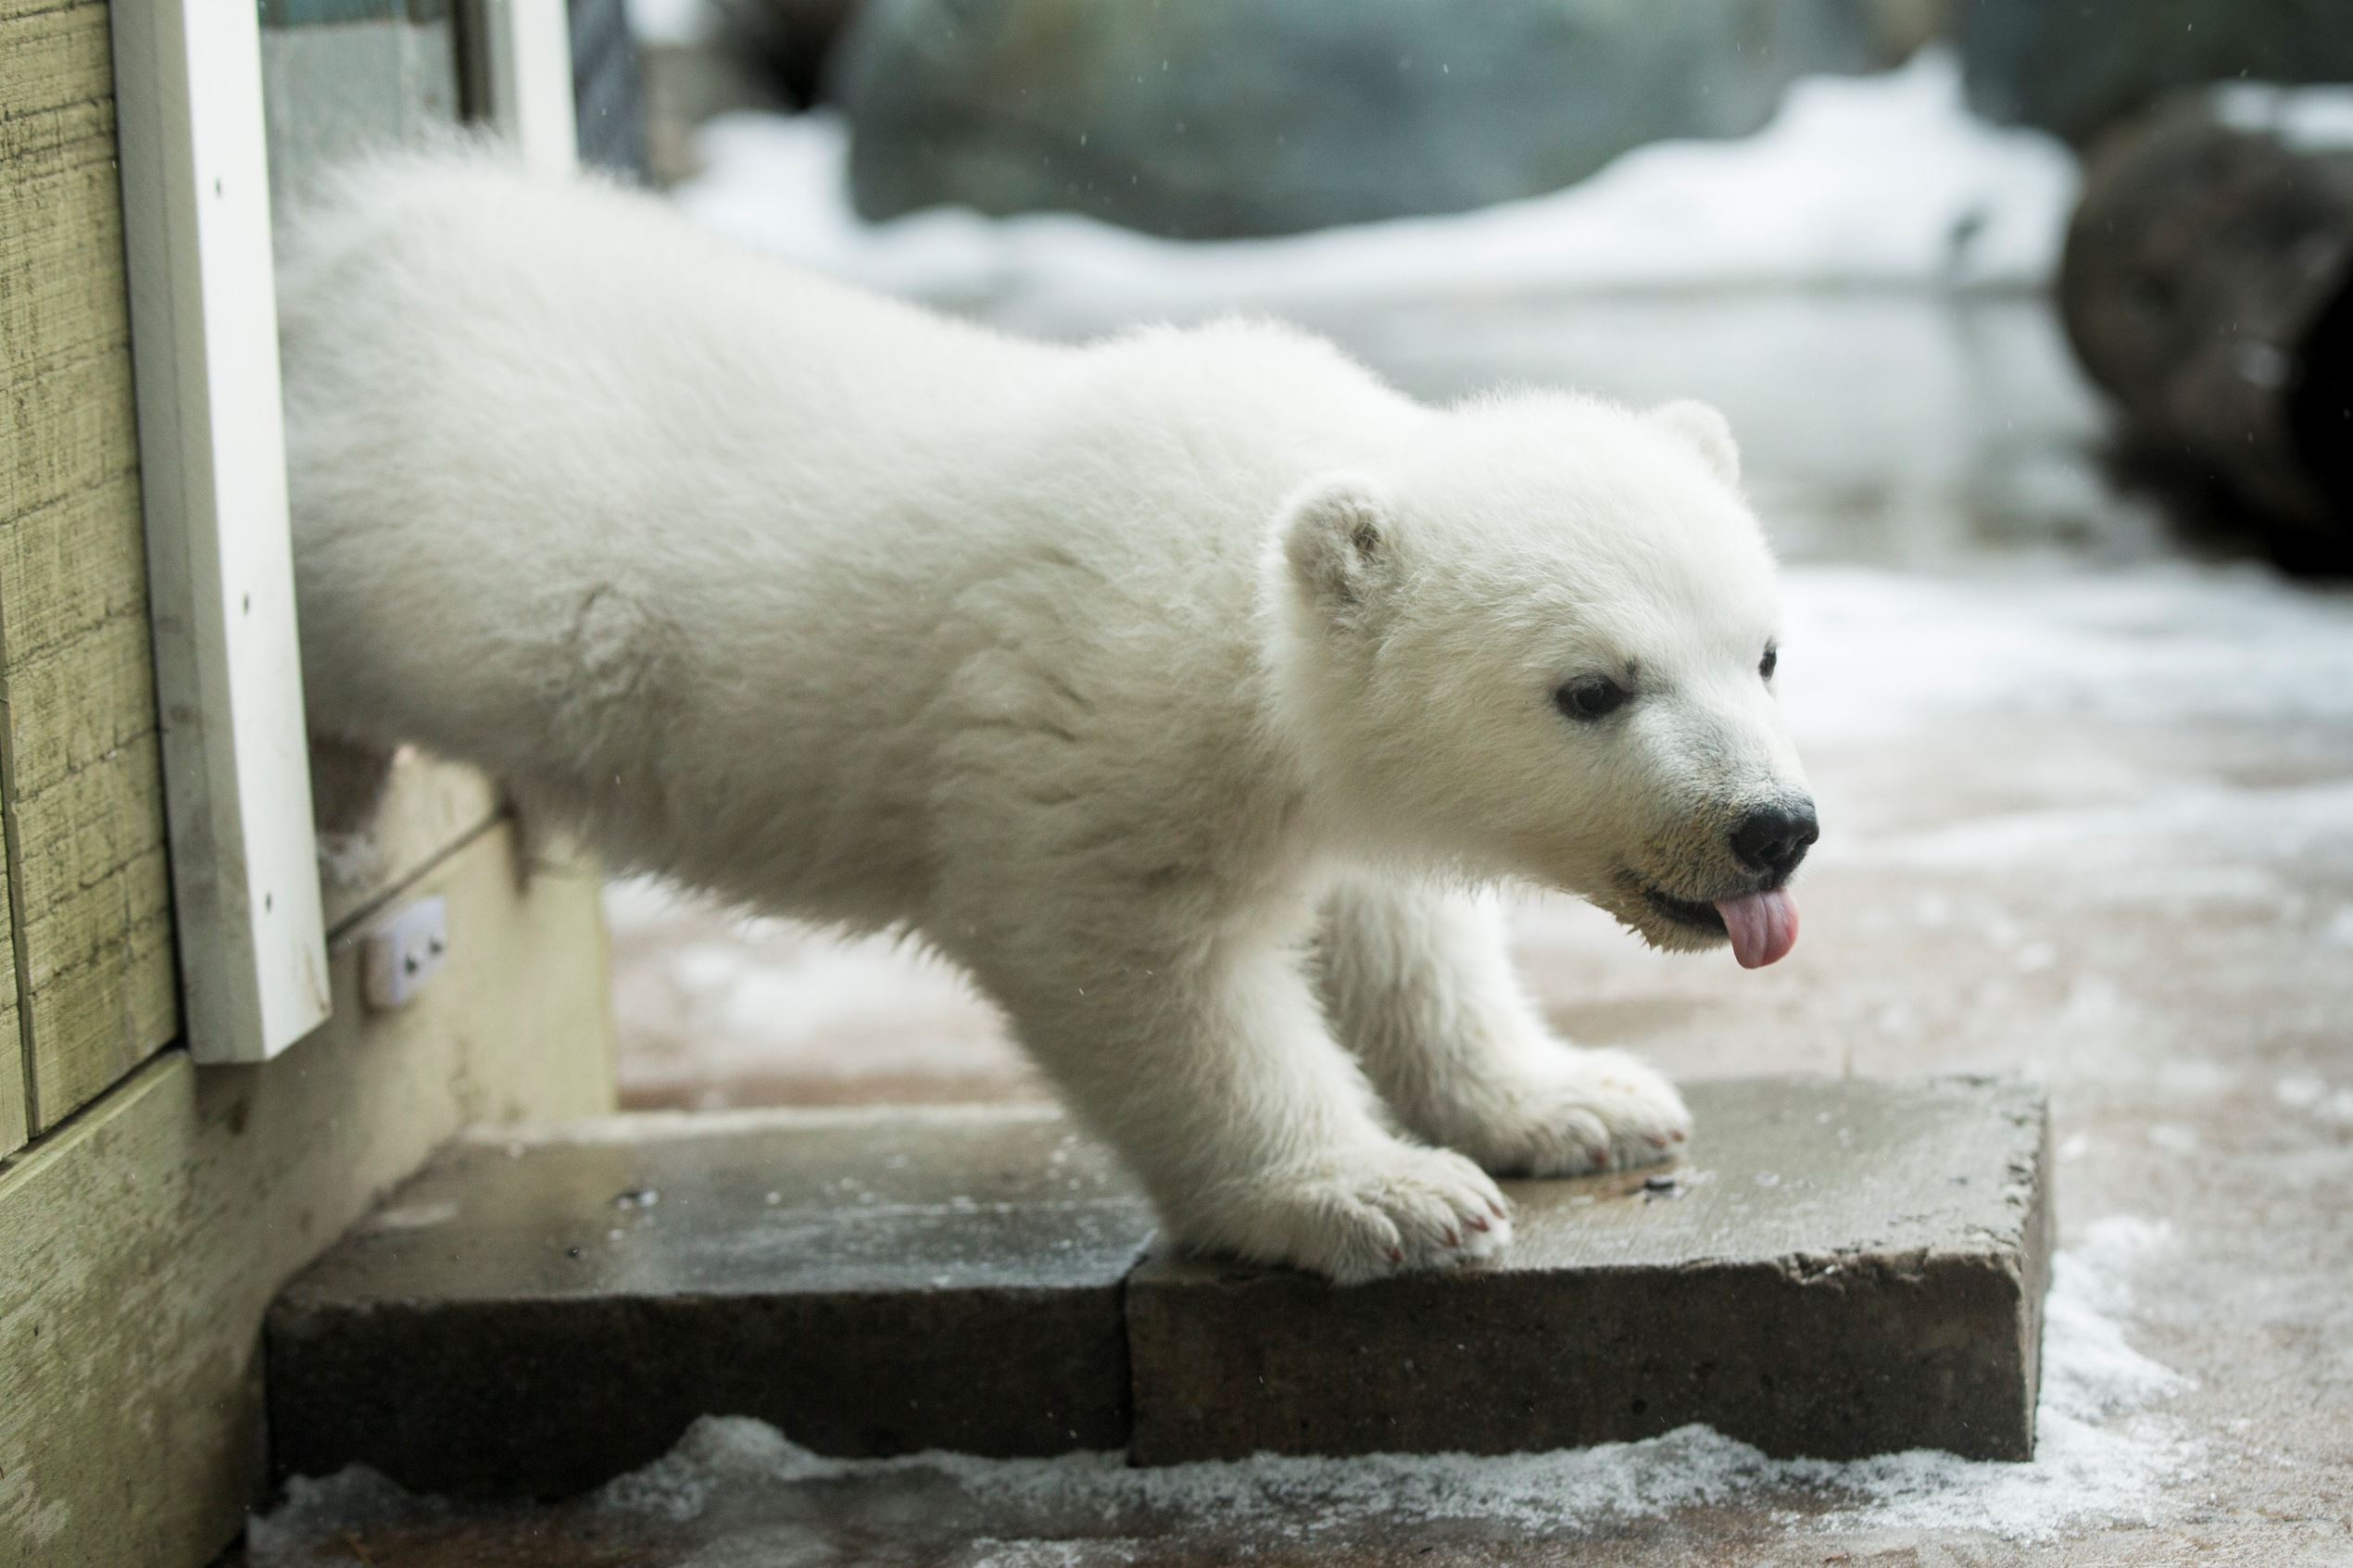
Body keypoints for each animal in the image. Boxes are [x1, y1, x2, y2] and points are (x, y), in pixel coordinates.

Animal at [277, 152, 1817, 1283]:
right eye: (1592, 688)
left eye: (1762, 652)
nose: (1774, 829)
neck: (1233, 541)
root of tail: (339, 250)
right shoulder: (1095, 726)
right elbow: (1142, 969)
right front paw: (1381, 1198)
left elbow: (1400, 928)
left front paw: (1577, 1103)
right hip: (409, 544)